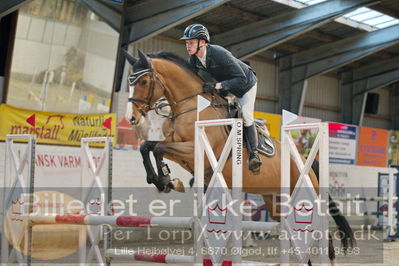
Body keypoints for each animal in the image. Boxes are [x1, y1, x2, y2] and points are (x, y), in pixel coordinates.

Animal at [126, 48, 356, 262]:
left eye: (144, 81)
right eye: (130, 81)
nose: (132, 118)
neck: (189, 107)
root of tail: (306, 161)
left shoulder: (193, 149)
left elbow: (157, 149)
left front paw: (167, 180)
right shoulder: (180, 150)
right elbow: (148, 147)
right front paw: (162, 180)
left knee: (323, 238)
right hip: (277, 203)